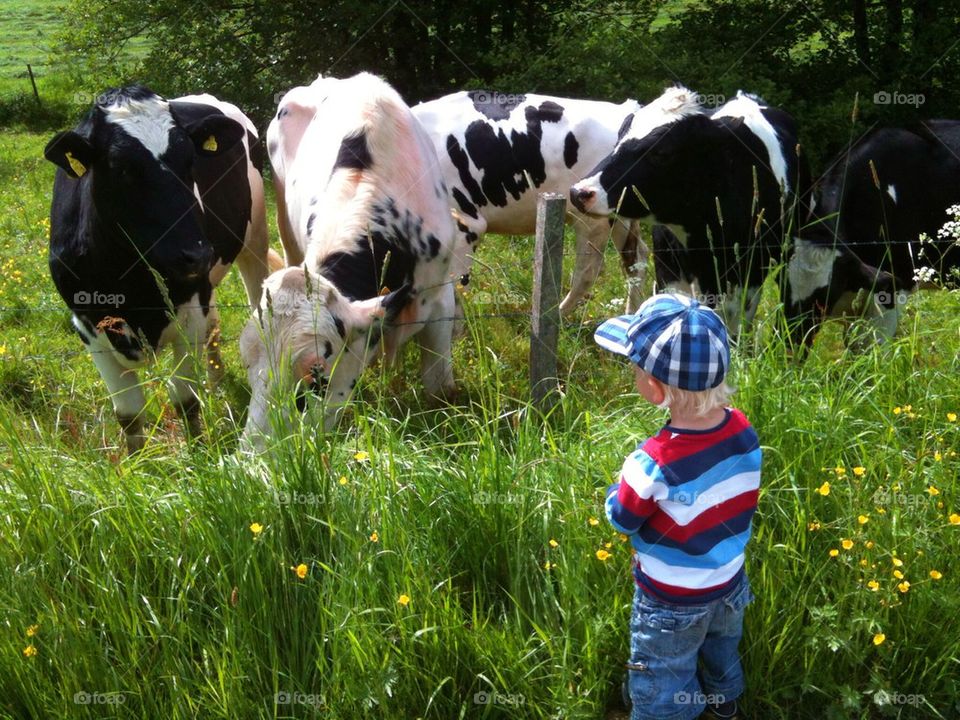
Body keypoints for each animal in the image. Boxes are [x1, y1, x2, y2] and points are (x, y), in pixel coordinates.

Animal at [47, 86, 276, 450]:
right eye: (121, 168)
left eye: (190, 160)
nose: (198, 253)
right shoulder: (87, 323)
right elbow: (128, 414)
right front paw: (137, 460)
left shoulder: (189, 312)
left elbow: (185, 401)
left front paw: (198, 453)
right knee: (214, 326)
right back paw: (216, 382)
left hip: (253, 241)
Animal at [408, 88, 648, 312]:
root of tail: (627, 109)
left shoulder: (464, 225)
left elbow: (453, 290)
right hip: (620, 217)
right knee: (636, 258)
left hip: (592, 218)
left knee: (588, 271)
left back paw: (556, 313)